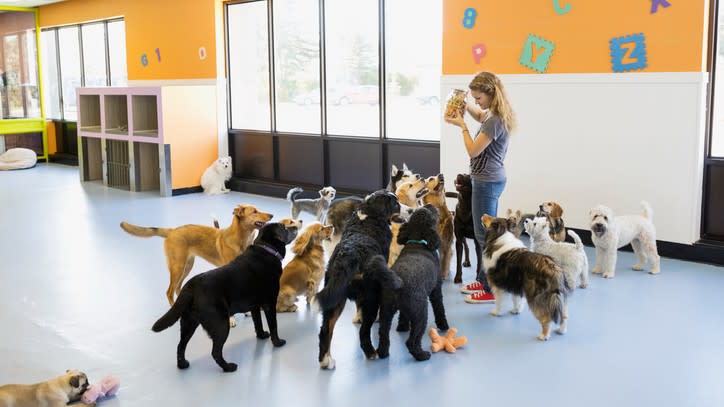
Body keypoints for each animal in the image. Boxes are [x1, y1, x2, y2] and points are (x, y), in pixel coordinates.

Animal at [121, 204, 274, 306]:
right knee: (169, 292)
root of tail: (172, 231)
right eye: (254, 211)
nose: (272, 215)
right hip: (177, 267)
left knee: (178, 288)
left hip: (187, 266)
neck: (241, 239)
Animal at [316, 190, 402, 370]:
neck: (370, 216)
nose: (408, 209)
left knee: (326, 330)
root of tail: (348, 254)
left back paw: (325, 361)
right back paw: (371, 353)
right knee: (364, 332)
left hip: (334, 296)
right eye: (396, 204)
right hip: (370, 296)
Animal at [370, 206, 450, 362]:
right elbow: (440, 308)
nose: (429, 205)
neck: (417, 242)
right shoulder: (436, 290)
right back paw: (422, 355)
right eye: (431, 214)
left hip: (386, 312)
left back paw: (383, 352)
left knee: (383, 334)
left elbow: (403, 316)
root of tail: (399, 282)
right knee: (412, 341)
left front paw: (402, 327)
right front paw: (444, 325)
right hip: (421, 312)